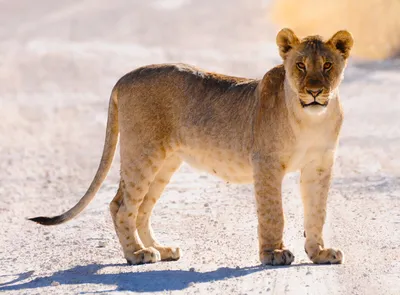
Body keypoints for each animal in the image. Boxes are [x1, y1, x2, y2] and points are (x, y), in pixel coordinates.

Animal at [28, 28, 354, 268]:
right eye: (300, 65)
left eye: (327, 66)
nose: (315, 91)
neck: (311, 119)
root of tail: (124, 77)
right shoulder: (266, 163)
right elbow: (274, 213)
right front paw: (274, 253)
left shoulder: (320, 165)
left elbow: (317, 211)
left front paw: (320, 253)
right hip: (142, 152)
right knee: (120, 205)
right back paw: (137, 254)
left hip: (164, 162)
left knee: (141, 208)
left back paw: (160, 249)